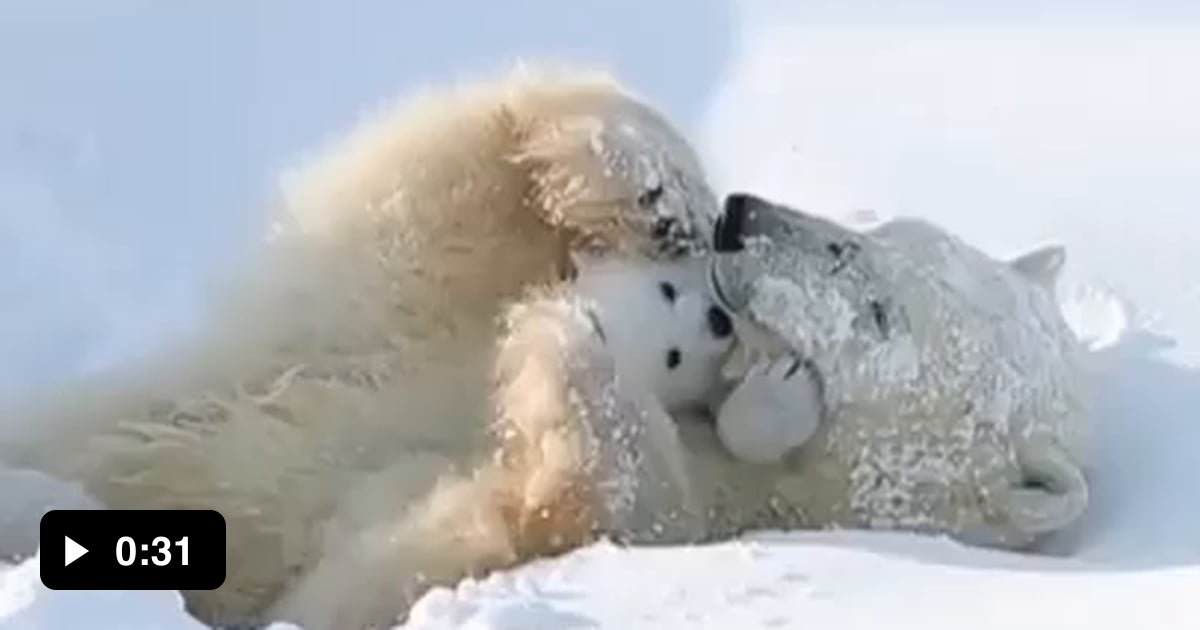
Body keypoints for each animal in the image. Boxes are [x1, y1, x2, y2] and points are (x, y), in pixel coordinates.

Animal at [0, 63, 715, 624]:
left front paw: (569, 358)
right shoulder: (408, 294)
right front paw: (664, 199)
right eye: (673, 287)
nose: (718, 319)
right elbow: (453, 168)